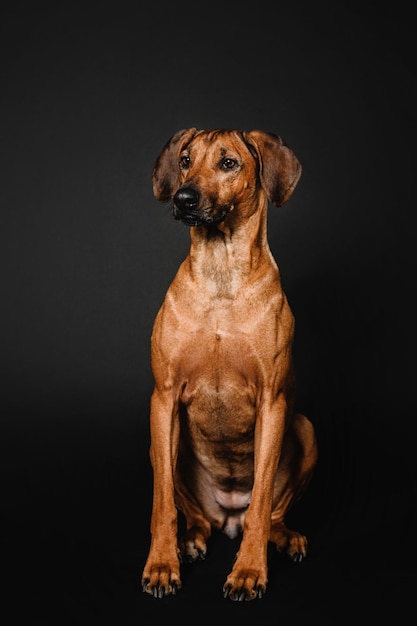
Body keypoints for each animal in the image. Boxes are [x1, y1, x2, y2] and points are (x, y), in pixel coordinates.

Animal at [141, 128, 316, 600]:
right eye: (185, 160)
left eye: (228, 163)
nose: (183, 198)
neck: (221, 276)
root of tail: (227, 517)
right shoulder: (163, 398)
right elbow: (163, 504)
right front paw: (162, 565)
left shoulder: (272, 403)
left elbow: (261, 504)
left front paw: (249, 571)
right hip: (165, 445)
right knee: (193, 512)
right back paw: (191, 539)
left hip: (303, 428)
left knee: (268, 512)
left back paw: (283, 537)